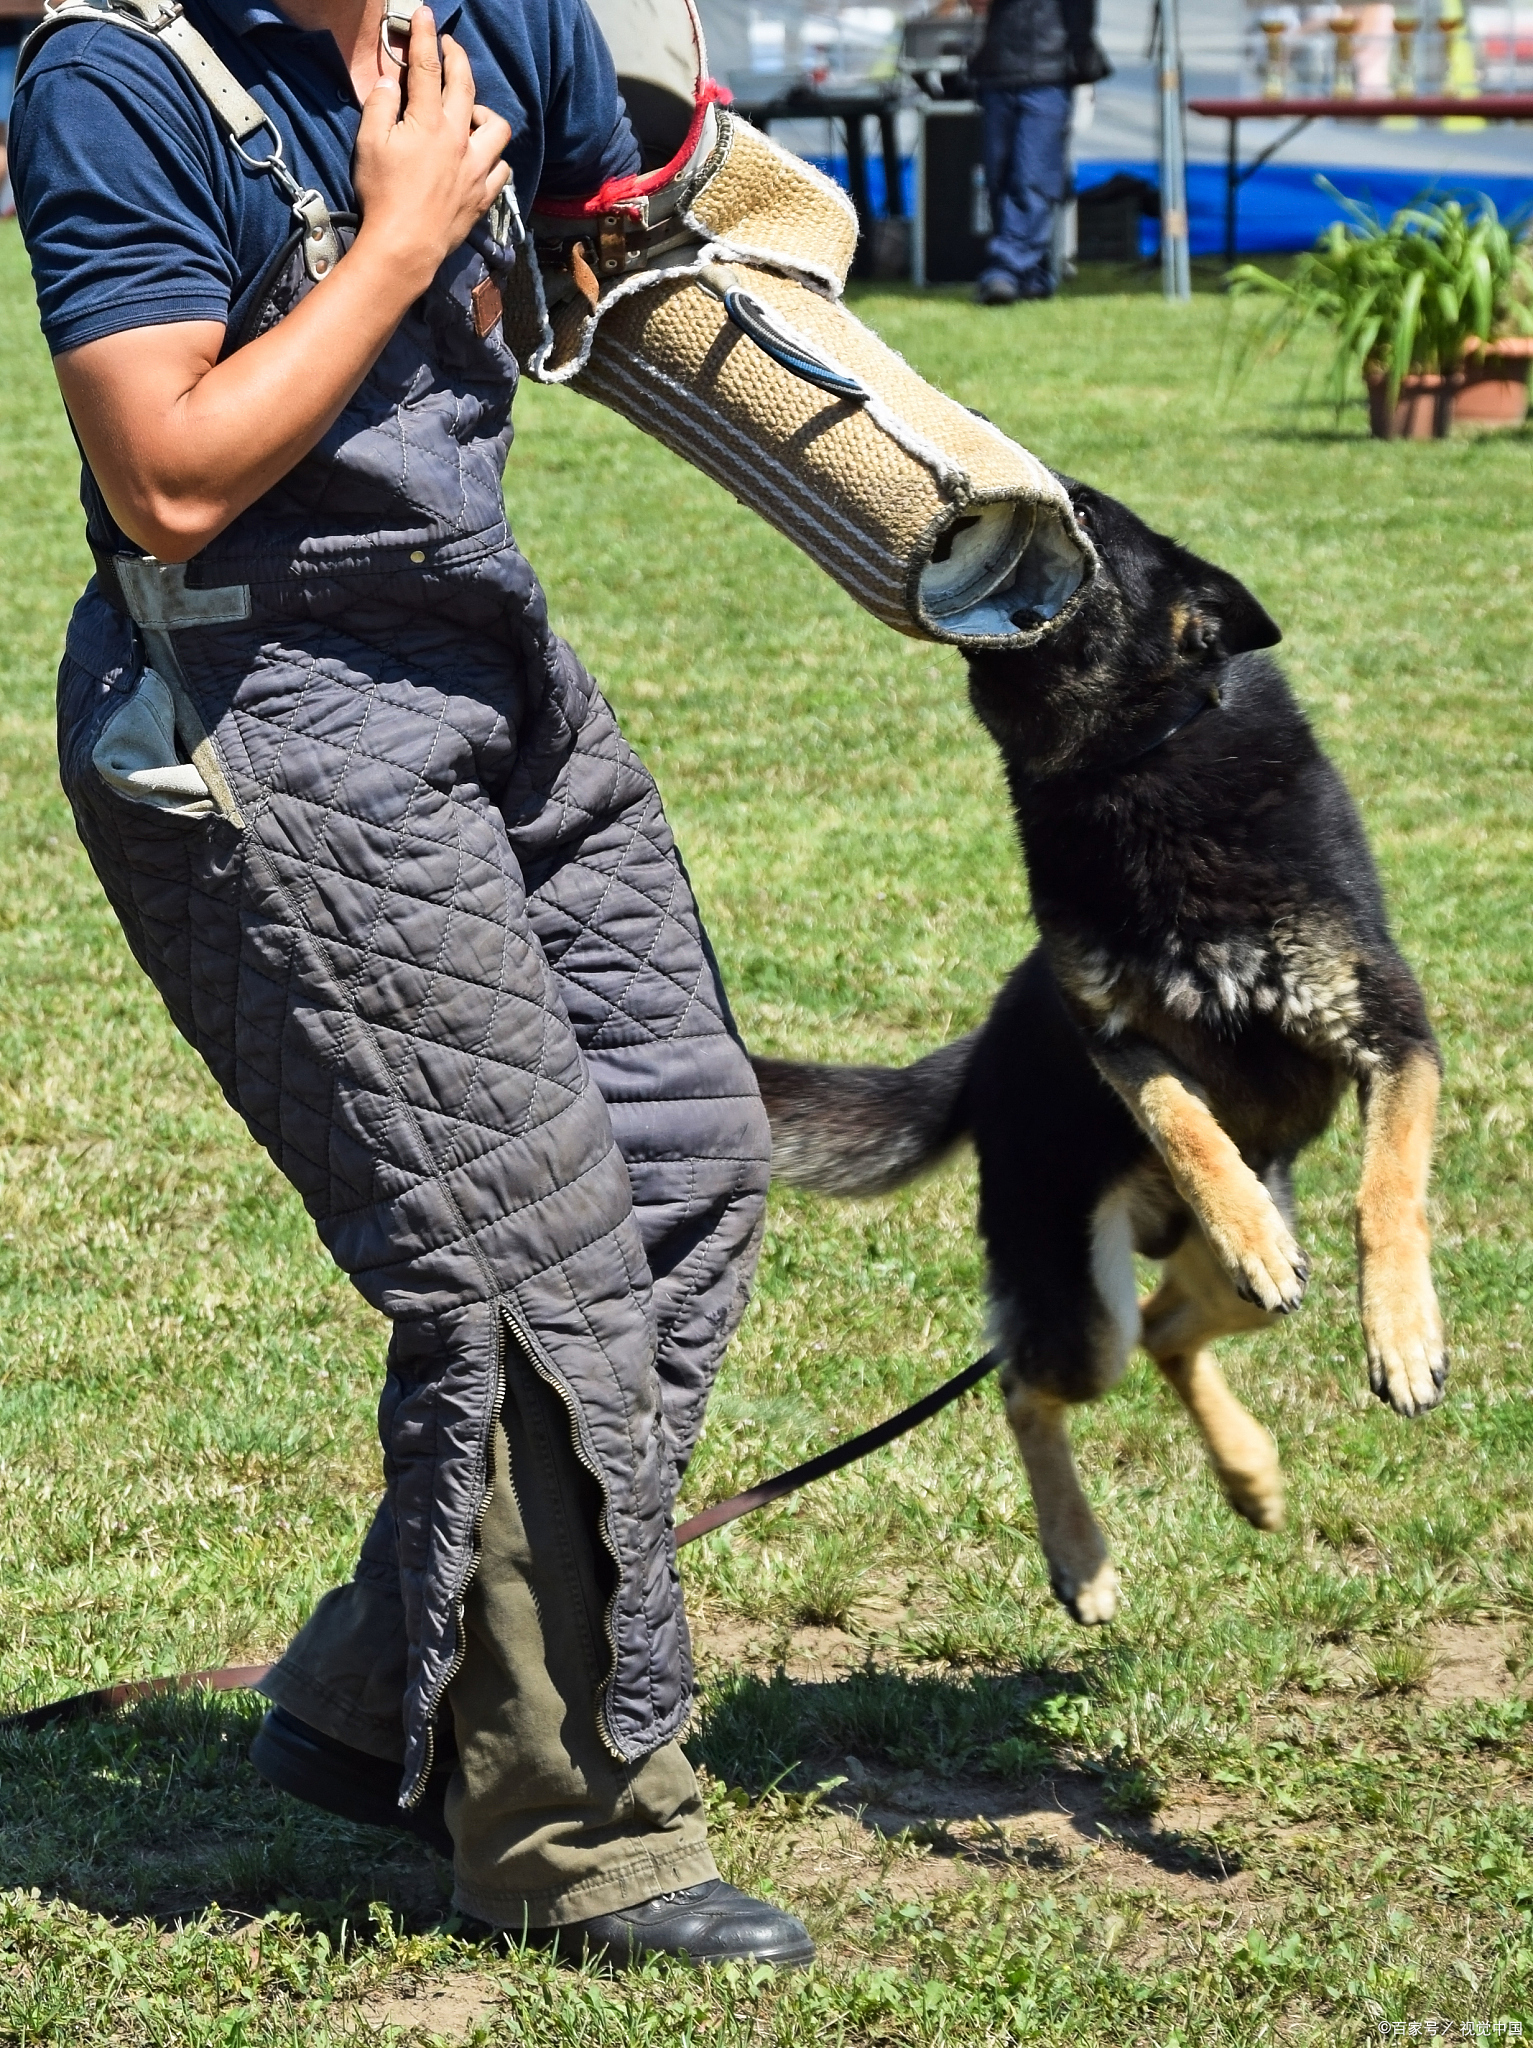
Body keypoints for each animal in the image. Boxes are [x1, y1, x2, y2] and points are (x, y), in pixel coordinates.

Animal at [753, 475, 1449, 1613]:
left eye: (1093, 519)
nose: (1032, 484)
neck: (1132, 764)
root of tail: (983, 1051)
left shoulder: (1391, 1030)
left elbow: (1388, 1189)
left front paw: (1401, 1331)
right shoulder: (1113, 1035)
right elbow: (1183, 1121)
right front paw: (1249, 1225)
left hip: (1212, 1287)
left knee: (1169, 1330)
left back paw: (1248, 1473)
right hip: (1084, 1312)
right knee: (1031, 1384)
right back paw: (1079, 1555)